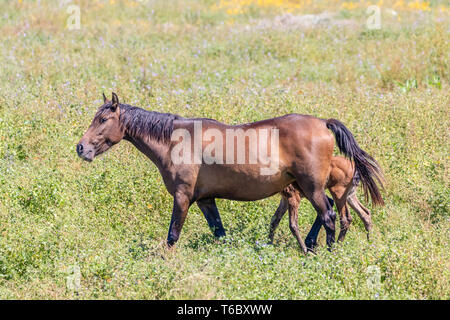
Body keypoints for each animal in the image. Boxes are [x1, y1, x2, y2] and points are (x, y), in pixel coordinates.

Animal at [77, 92, 384, 252]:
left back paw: (325, 252)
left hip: (311, 187)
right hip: (307, 188)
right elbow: (219, 233)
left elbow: (172, 236)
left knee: (330, 216)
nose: (81, 148)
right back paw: (311, 245)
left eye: (103, 119)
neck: (176, 140)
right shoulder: (205, 200)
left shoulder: (182, 198)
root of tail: (322, 123)